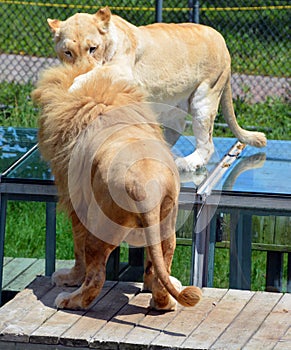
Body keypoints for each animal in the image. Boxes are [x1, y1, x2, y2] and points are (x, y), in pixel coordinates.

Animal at [31, 62, 201, 308]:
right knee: (161, 260)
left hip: (100, 226)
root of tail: (144, 187)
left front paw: (70, 278)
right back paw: (163, 302)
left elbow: (77, 249)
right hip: (166, 223)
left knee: (96, 277)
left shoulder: (76, 204)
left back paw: (69, 300)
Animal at [46, 7, 268, 172]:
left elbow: (94, 75)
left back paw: (187, 163)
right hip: (171, 106)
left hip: (205, 96)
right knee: (176, 128)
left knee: (207, 145)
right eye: (68, 52)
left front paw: (74, 87)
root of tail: (223, 41)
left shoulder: (123, 71)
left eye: (92, 48)